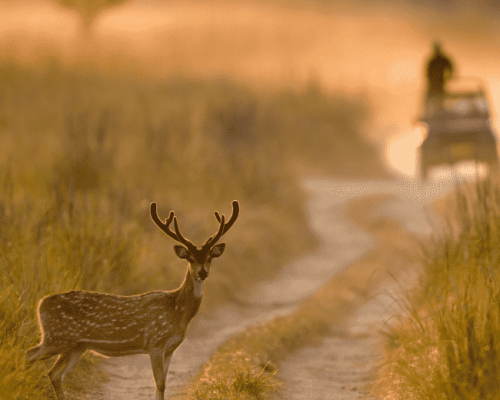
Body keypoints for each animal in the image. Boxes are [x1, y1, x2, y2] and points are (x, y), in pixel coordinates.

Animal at [25, 202, 240, 400]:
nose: (202, 273)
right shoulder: (155, 342)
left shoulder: (170, 348)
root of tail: (41, 303)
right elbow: (160, 383)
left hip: (76, 346)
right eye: (190, 259)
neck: (177, 311)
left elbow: (162, 383)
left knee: (55, 373)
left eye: (210, 258)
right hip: (57, 337)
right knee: (30, 354)